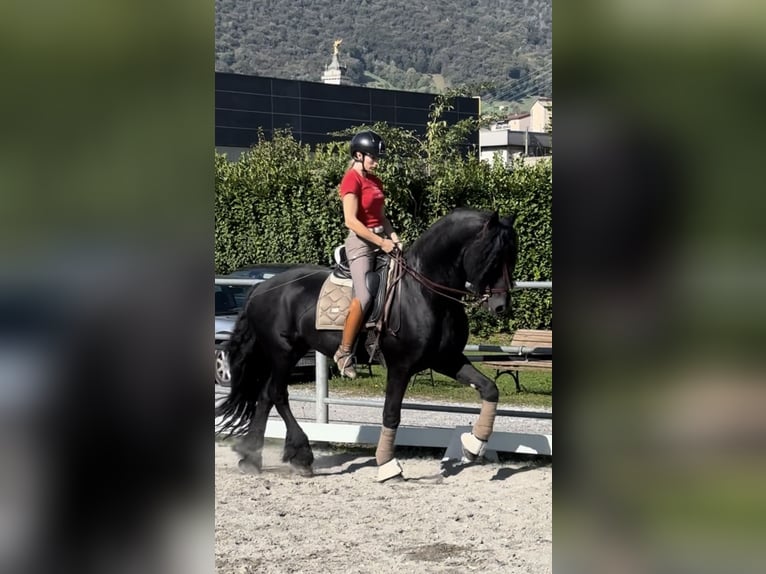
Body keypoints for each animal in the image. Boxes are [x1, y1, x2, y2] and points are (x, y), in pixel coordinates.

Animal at [216, 207, 518, 481]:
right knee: (277, 394)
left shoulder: (447, 359)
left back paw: (251, 458)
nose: (501, 306)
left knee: (266, 395)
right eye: (493, 256)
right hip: (283, 352)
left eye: (512, 256)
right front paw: (388, 466)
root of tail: (260, 288)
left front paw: (474, 445)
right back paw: (300, 455)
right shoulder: (400, 367)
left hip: (289, 353)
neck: (423, 293)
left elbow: (489, 389)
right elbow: (391, 414)